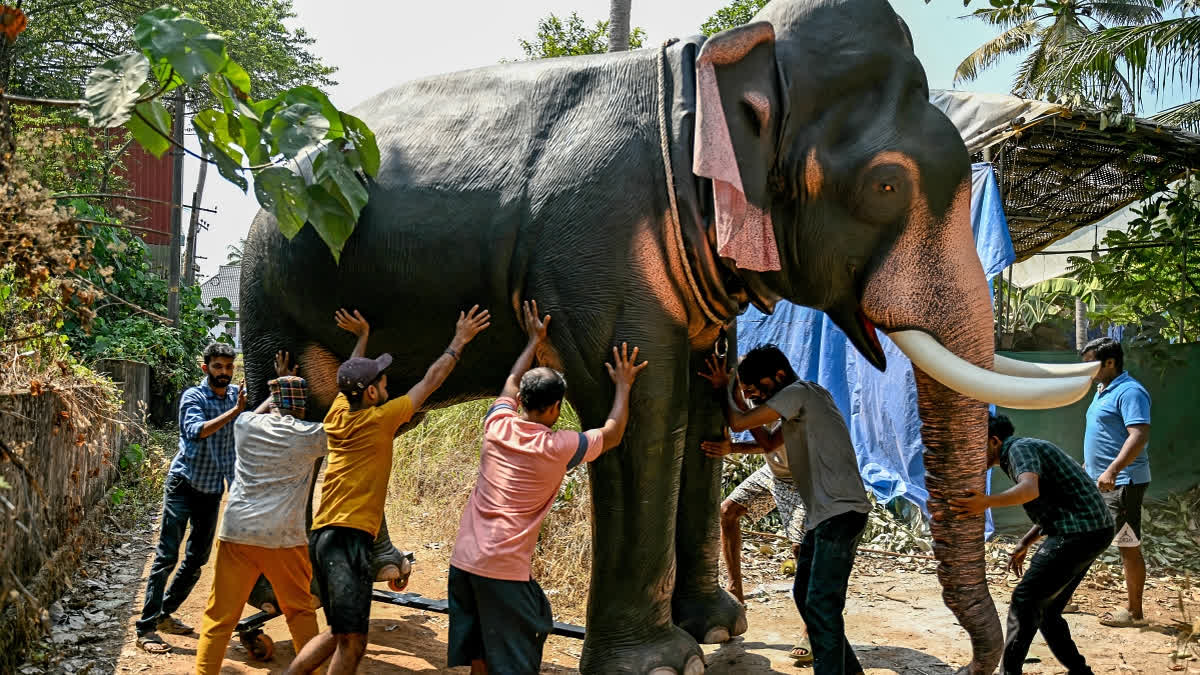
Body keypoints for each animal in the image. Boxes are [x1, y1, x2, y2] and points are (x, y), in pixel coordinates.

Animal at [240, 0, 1098, 672]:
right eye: (888, 183)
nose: (981, 662)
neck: (709, 69)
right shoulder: (600, 242)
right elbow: (644, 407)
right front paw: (659, 663)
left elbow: (699, 409)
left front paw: (718, 624)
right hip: (262, 285)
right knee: (289, 403)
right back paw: (275, 599)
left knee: (371, 415)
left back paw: (379, 569)